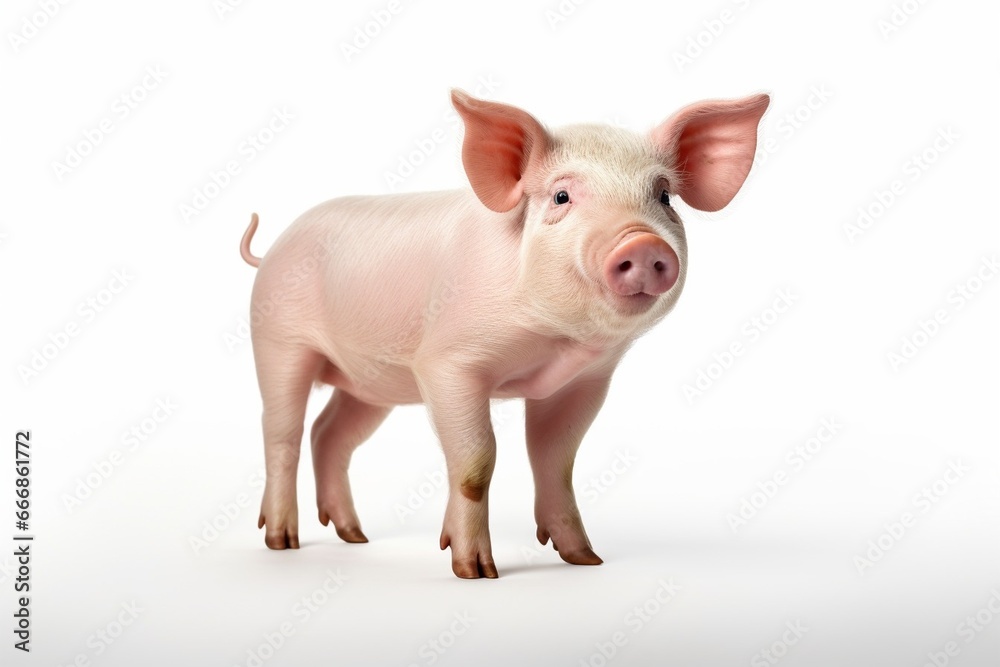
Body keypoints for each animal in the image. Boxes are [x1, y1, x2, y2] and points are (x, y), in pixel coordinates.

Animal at [240, 89, 769, 578]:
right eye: (561, 196)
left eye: (663, 197)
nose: (642, 243)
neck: (556, 342)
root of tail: (270, 252)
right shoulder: (445, 364)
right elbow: (476, 463)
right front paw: (475, 571)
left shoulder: (583, 382)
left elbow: (557, 462)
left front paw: (586, 559)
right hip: (277, 341)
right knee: (281, 432)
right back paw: (282, 542)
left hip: (370, 381)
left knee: (329, 434)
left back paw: (355, 536)